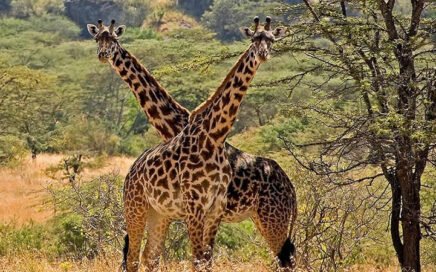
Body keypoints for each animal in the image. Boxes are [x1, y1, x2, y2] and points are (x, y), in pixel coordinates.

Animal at [85, 18, 296, 270]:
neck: (212, 135)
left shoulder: (209, 208)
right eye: (98, 39)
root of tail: (292, 190)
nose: (102, 54)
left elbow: (202, 260)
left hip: (272, 220)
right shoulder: (192, 208)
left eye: (271, 40)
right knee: (138, 257)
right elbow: (197, 260)